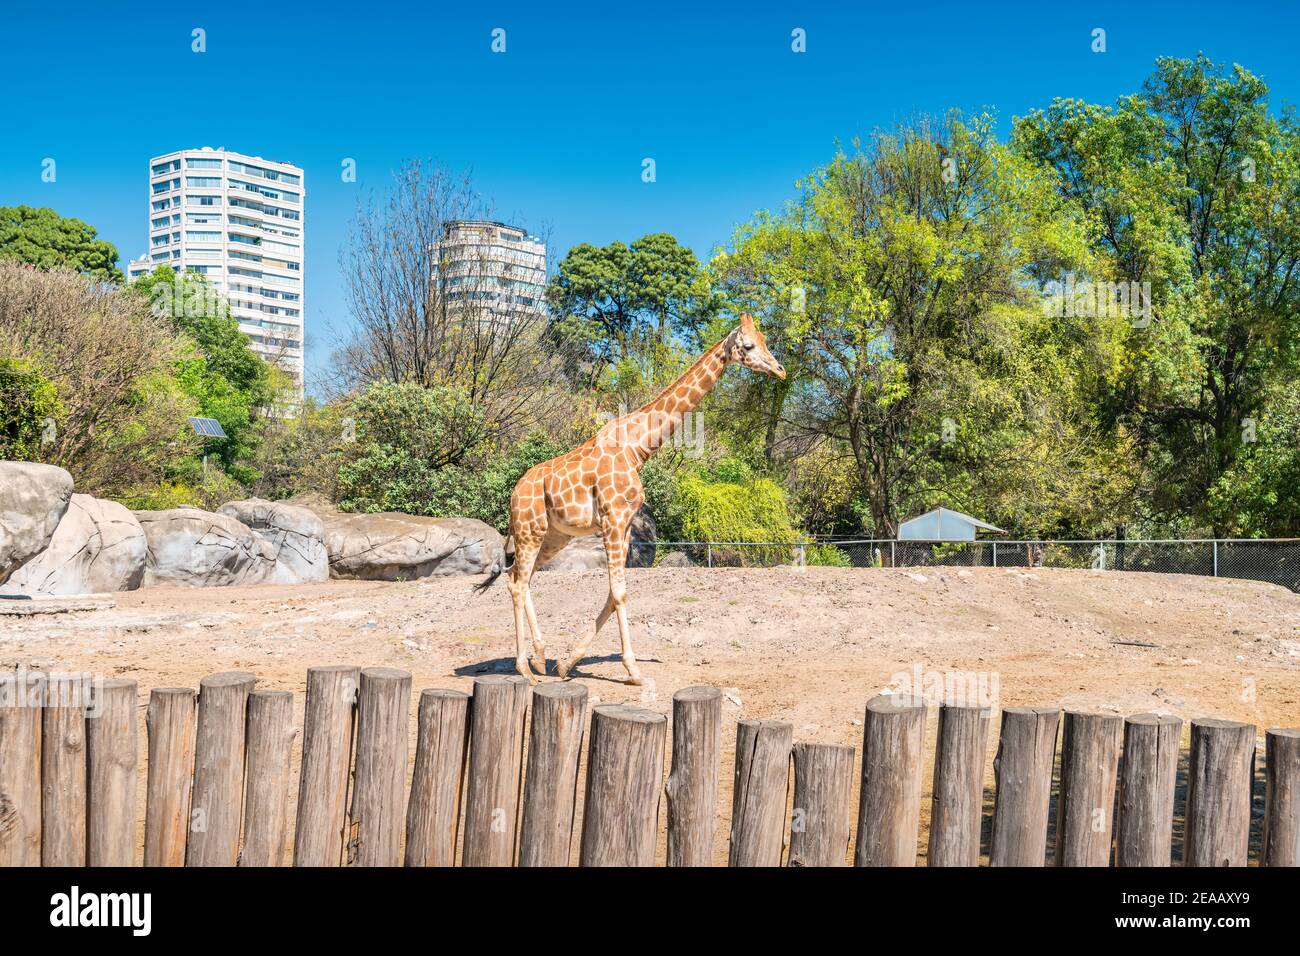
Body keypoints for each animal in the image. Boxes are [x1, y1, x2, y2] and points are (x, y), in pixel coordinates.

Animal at [475, 312, 785, 681]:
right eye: (749, 345)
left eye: (766, 339)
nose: (780, 370)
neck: (639, 448)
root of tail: (514, 492)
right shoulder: (612, 519)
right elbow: (620, 593)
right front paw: (634, 671)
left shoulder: (624, 527)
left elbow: (613, 594)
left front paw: (567, 663)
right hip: (529, 530)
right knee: (516, 583)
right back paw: (525, 668)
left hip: (553, 535)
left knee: (522, 579)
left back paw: (540, 658)